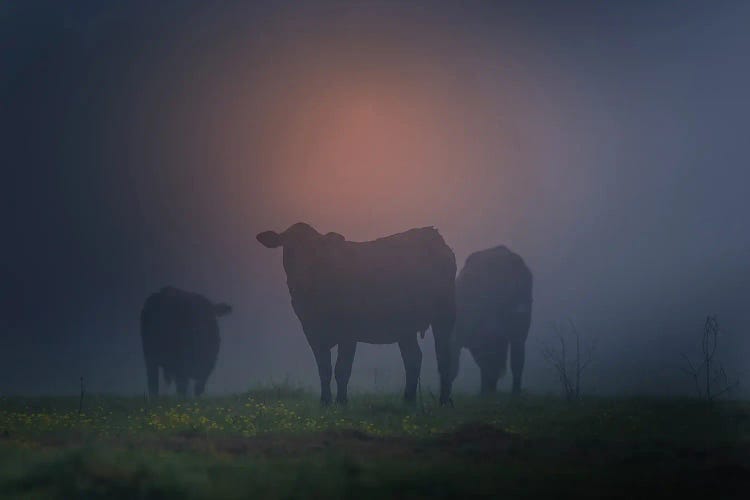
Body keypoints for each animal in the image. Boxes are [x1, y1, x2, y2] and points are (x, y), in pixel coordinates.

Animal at [258, 223, 458, 406]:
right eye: (289, 248)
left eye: (314, 251)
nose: (300, 279)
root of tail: (433, 236)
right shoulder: (312, 332)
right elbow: (324, 369)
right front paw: (325, 401)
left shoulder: (349, 333)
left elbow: (342, 369)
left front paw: (341, 402)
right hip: (405, 327)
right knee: (413, 358)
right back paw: (408, 400)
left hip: (444, 315)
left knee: (443, 357)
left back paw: (444, 401)